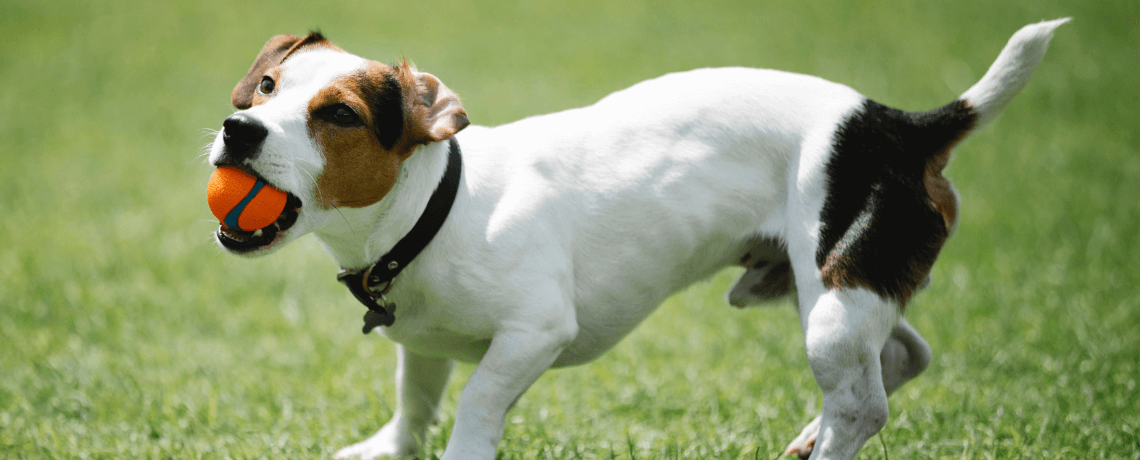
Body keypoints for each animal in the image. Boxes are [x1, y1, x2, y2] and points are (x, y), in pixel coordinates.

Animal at [205, 18, 1067, 459]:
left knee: (862, 408)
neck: (435, 207)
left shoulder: (534, 333)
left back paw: (826, 442)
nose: (238, 129)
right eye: (268, 88)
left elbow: (477, 403)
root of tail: (900, 126)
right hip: (825, 287)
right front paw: (389, 447)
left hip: (831, 309)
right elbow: (415, 400)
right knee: (900, 358)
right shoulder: (421, 341)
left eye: (339, 114)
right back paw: (811, 430)